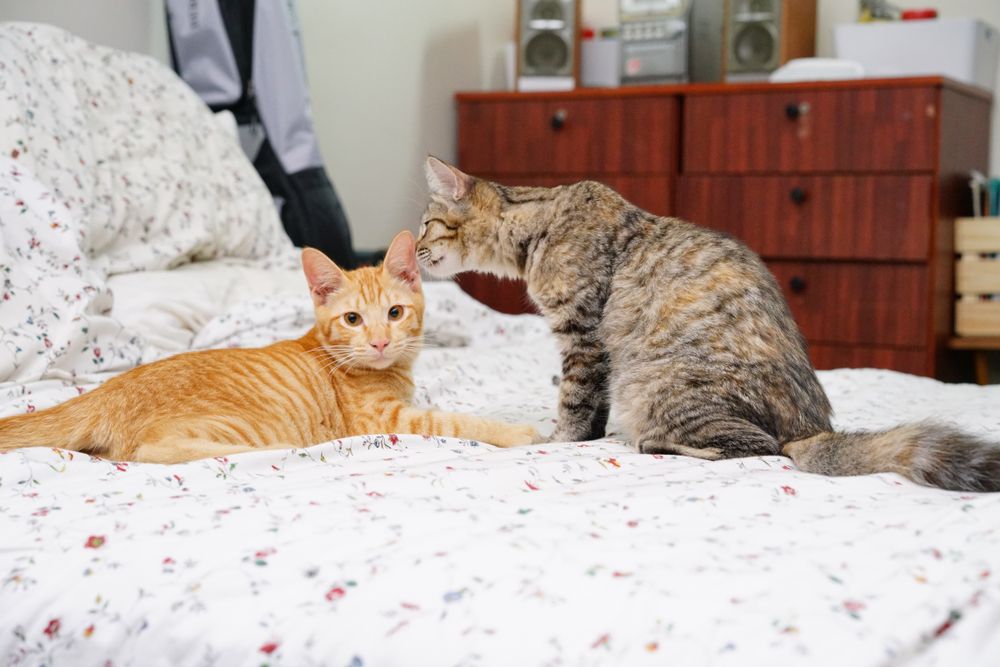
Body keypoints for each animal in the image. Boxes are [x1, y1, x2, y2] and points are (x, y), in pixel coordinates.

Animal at [0, 231, 540, 464]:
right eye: (352, 319)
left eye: (394, 313)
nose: (380, 341)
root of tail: (105, 390)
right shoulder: (383, 419)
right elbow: (456, 422)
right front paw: (516, 431)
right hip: (233, 423)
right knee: (148, 452)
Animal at [416, 154, 1000, 494]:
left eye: (425, 224)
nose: (415, 249)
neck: (537, 225)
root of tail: (815, 428)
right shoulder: (593, 351)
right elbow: (592, 412)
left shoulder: (583, 338)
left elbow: (574, 405)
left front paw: (556, 440)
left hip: (662, 386)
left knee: (763, 447)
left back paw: (655, 444)